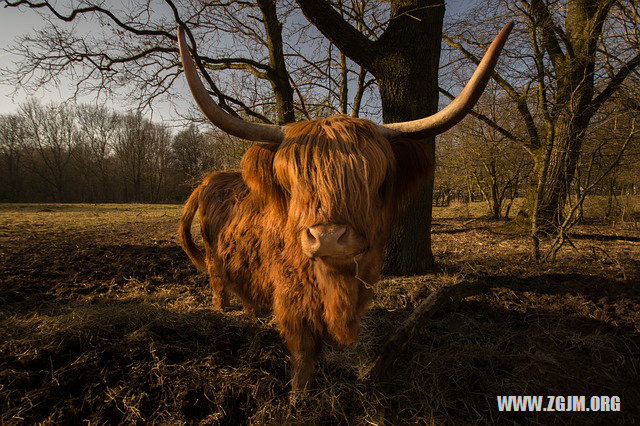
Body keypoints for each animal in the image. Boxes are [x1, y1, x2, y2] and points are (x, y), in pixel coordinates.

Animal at [176, 21, 516, 392]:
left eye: (374, 180)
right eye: (291, 182)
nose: (327, 238)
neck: (336, 285)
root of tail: (207, 181)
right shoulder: (291, 297)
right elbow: (303, 349)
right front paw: (300, 393)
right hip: (214, 257)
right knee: (219, 282)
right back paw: (224, 312)